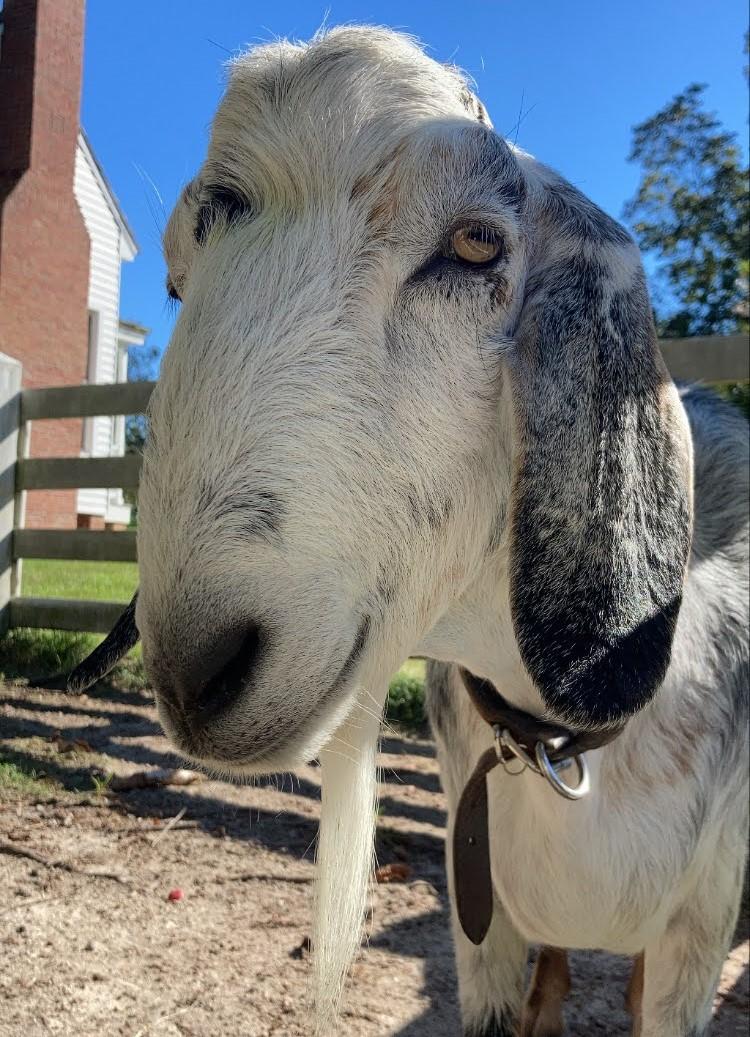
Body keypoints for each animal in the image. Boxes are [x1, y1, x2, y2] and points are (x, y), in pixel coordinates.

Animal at [77, 26, 750, 1037]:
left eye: (477, 242)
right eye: (172, 278)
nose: (197, 668)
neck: (565, 743)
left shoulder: (693, 941)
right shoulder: (484, 929)